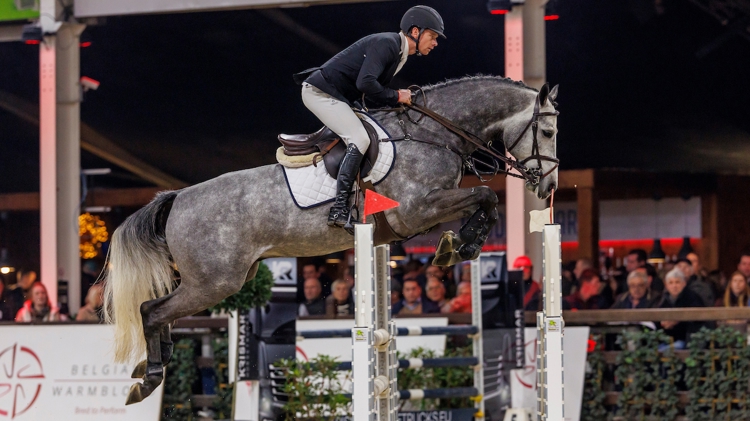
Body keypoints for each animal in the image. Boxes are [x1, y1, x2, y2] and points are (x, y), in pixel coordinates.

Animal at [104, 75, 560, 404]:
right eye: (548, 132)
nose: (548, 187)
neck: (436, 133)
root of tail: (177, 197)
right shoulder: (417, 209)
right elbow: (485, 195)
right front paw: (461, 244)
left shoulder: (421, 213)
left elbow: (485, 202)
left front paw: (461, 244)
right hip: (215, 281)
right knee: (151, 310)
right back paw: (148, 379)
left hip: (221, 279)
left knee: (163, 313)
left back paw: (147, 368)